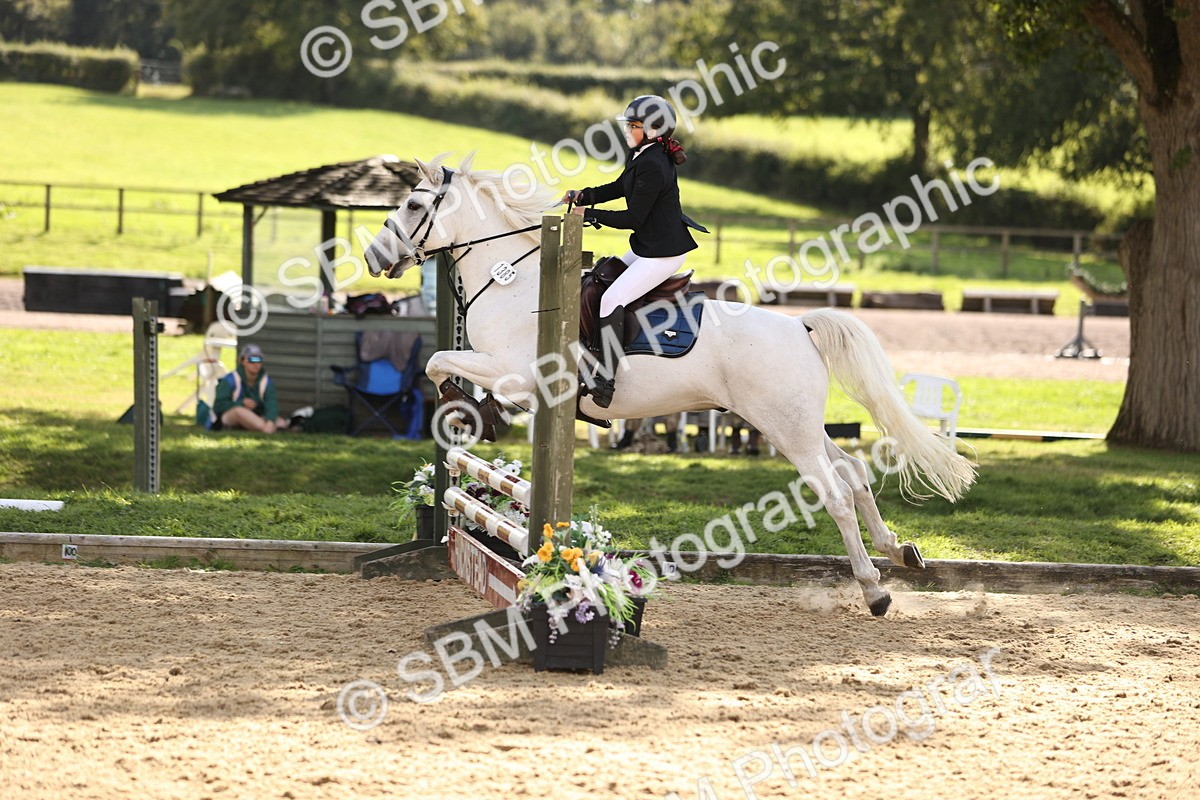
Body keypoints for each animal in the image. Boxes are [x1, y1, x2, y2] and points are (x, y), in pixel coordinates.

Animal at [365, 155, 976, 616]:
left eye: (415, 205)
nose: (373, 257)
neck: (512, 283)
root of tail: (798, 327)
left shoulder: (512, 370)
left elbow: (439, 363)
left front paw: (462, 410)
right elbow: (446, 367)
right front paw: (474, 413)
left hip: (786, 429)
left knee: (835, 495)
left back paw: (874, 590)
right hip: (801, 424)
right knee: (852, 474)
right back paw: (897, 553)